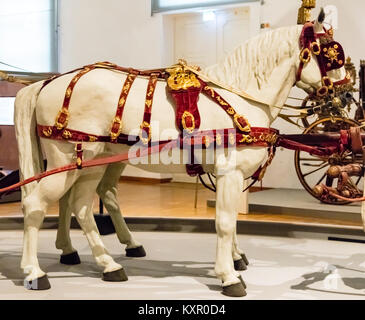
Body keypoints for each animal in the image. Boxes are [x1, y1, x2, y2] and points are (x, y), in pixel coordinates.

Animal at [12, 11, 346, 298]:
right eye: (331, 54)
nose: (344, 94)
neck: (240, 95)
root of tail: (48, 83)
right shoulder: (229, 172)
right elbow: (225, 224)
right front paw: (229, 276)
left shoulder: (231, 176)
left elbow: (233, 222)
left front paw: (236, 259)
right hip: (68, 159)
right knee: (37, 204)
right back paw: (35, 271)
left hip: (91, 162)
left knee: (80, 205)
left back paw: (106, 262)